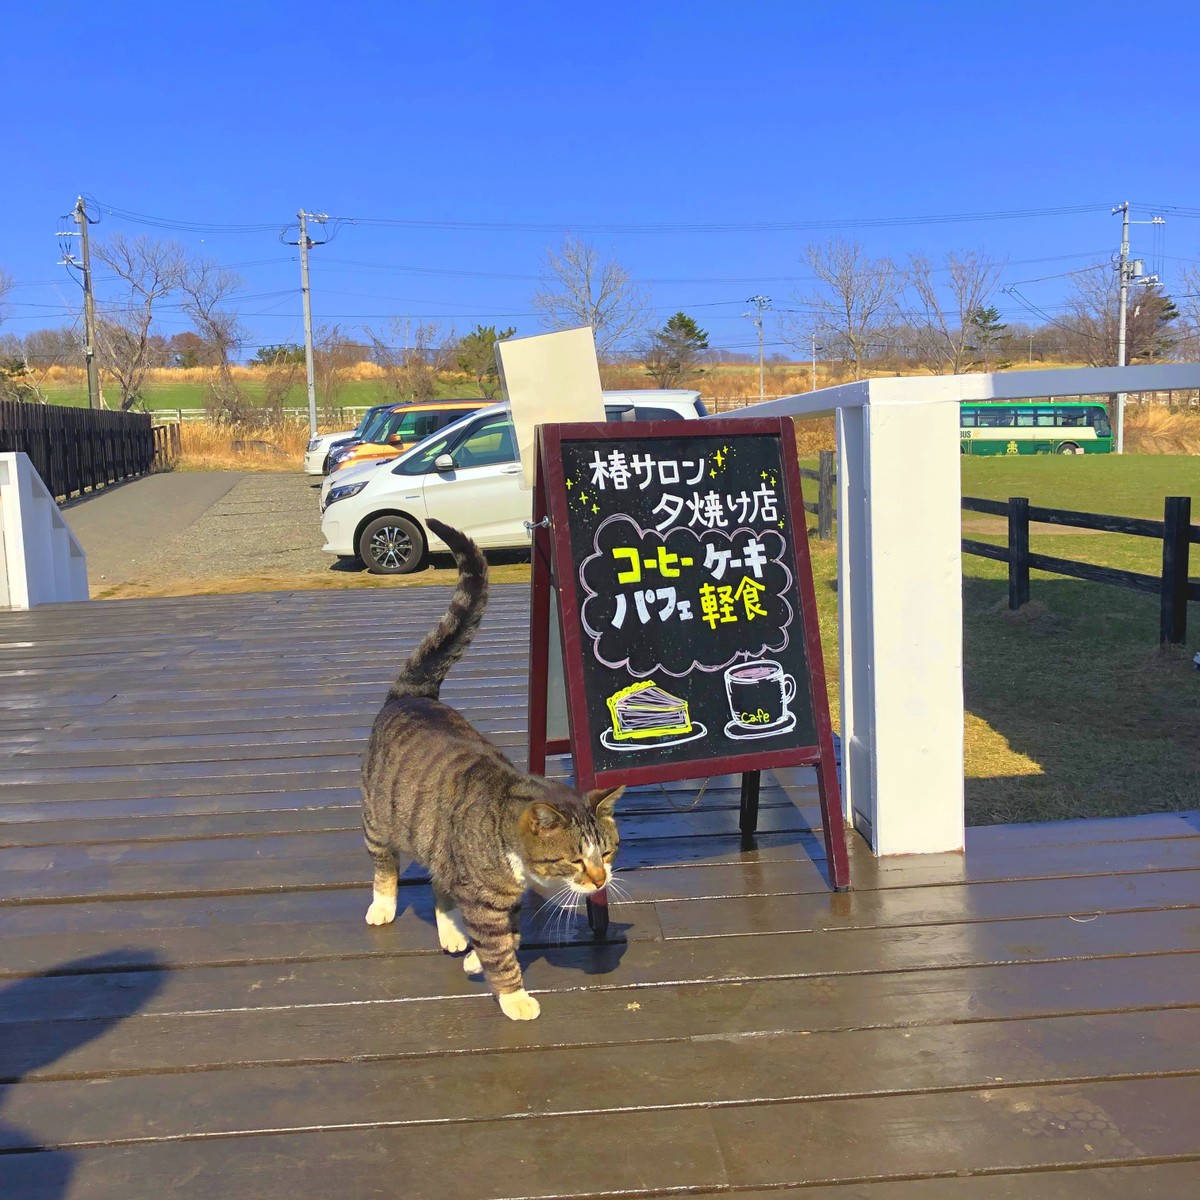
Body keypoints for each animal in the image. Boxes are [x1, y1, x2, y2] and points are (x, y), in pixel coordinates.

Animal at [360, 518, 624, 1022]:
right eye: (576, 859)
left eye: (607, 852)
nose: (601, 880)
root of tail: (413, 694)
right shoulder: (483, 897)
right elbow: (500, 950)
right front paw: (514, 995)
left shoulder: (505, 899)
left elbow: (509, 936)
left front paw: (476, 959)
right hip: (379, 816)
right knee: (384, 861)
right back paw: (383, 905)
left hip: (438, 840)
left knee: (441, 887)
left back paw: (451, 935)